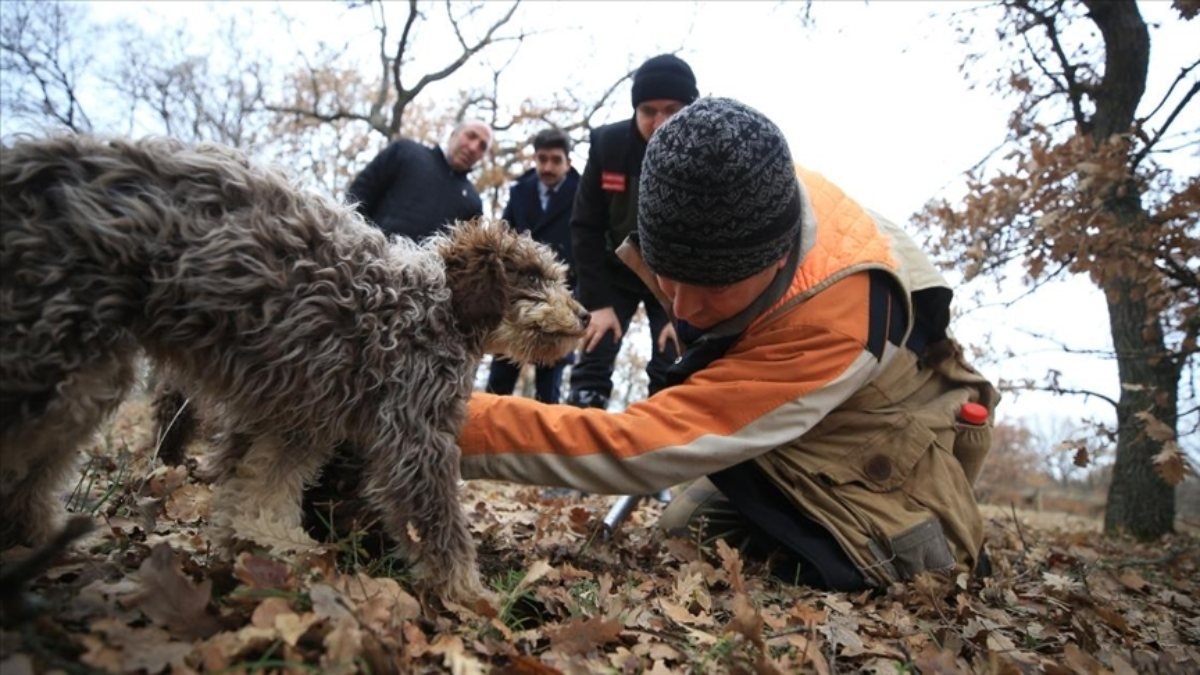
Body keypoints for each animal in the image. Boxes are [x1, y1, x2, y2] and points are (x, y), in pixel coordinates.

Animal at [0, 135, 583, 598]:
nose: (582, 316)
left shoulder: (300, 420)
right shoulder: (414, 434)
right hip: (52, 360)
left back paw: (41, 534)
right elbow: (439, 527)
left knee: (39, 468)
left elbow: (262, 490)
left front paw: (266, 547)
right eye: (532, 277)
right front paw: (472, 598)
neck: (436, 303)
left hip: (85, 376)